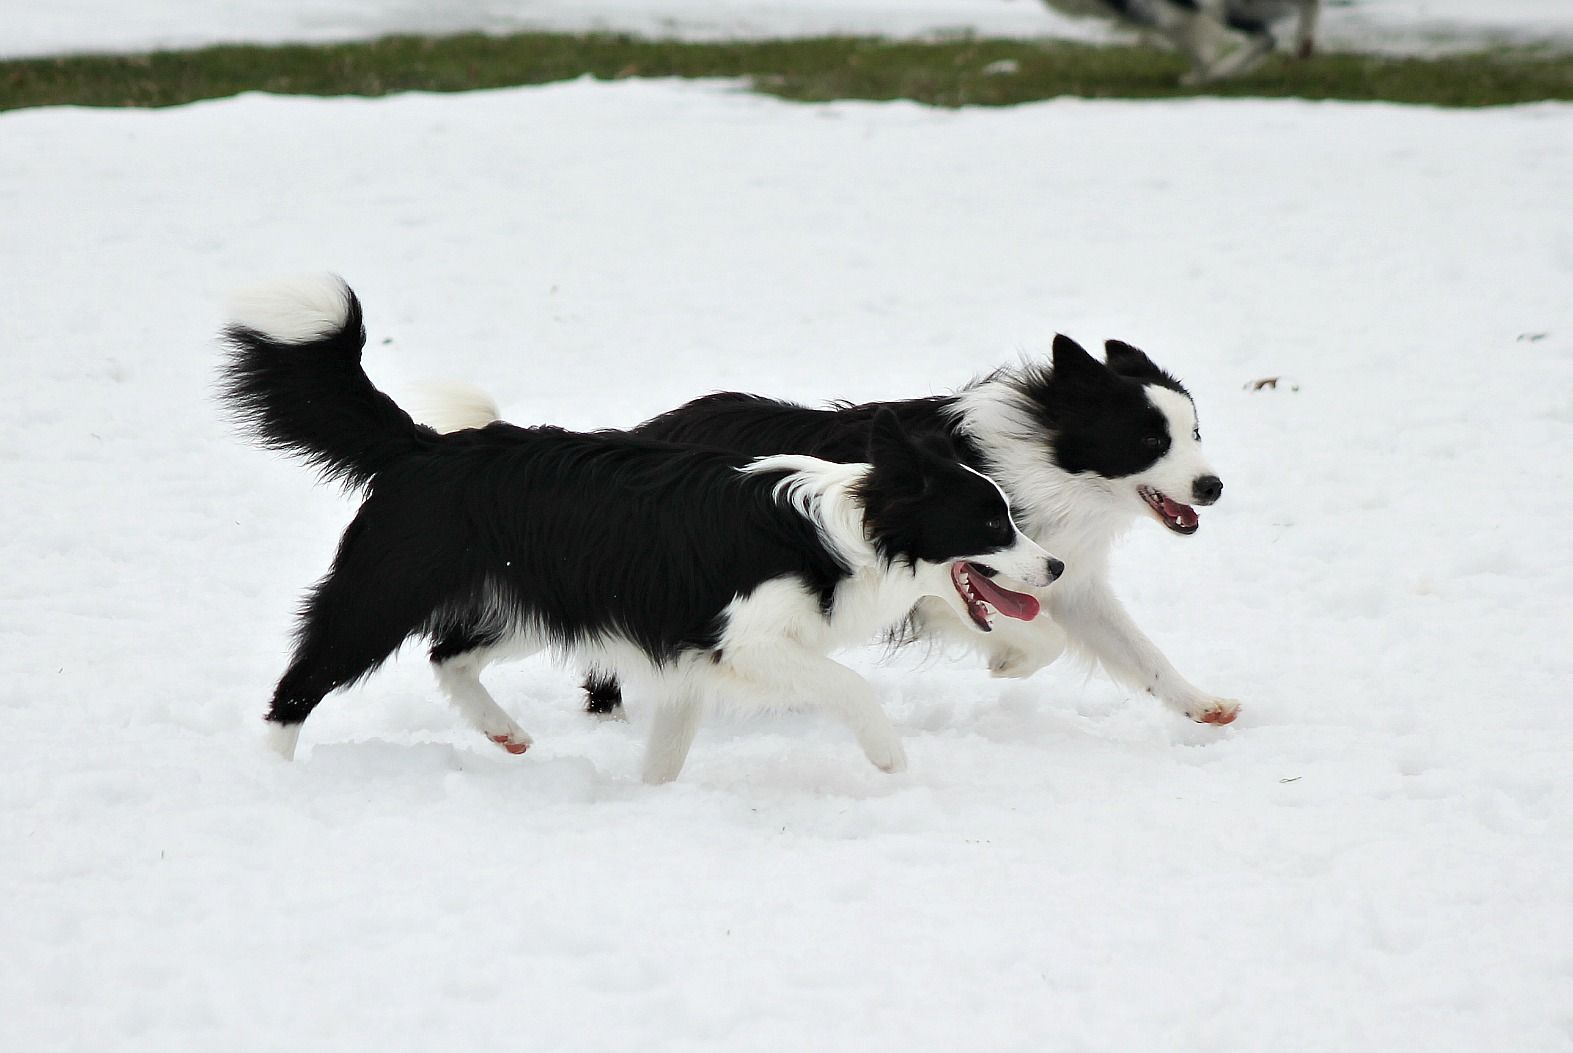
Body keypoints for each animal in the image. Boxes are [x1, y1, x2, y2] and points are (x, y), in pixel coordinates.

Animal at [219, 275, 1062, 783]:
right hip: (384, 593)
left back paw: (506, 734)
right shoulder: (743, 640)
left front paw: (649, 803)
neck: (843, 530)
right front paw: (890, 763)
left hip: (531, 598)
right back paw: (275, 776)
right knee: (300, 683)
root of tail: (425, 445)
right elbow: (849, 684)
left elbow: (666, 754)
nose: (1053, 568)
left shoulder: (687, 655)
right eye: (990, 519)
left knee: (448, 655)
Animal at [427, 334, 1238, 727]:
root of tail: (636, 435)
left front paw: (1202, 705)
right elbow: (1032, 634)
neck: (1043, 454)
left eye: (1196, 431)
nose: (1212, 486)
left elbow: (1137, 651)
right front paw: (1007, 663)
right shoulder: (939, 575)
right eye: (1148, 439)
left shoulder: (1062, 571)